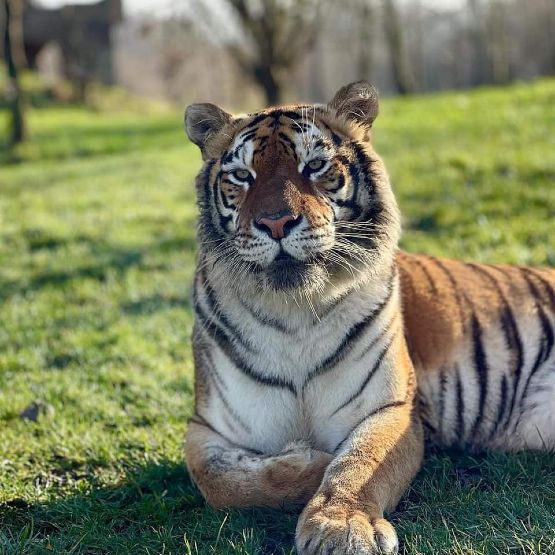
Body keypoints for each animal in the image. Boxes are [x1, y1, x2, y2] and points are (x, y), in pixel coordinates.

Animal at [184, 82, 555, 555]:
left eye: (314, 166)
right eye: (242, 176)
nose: (277, 222)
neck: (293, 315)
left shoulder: (390, 406)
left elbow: (360, 463)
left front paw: (340, 526)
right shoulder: (206, 428)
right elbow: (220, 483)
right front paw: (312, 461)